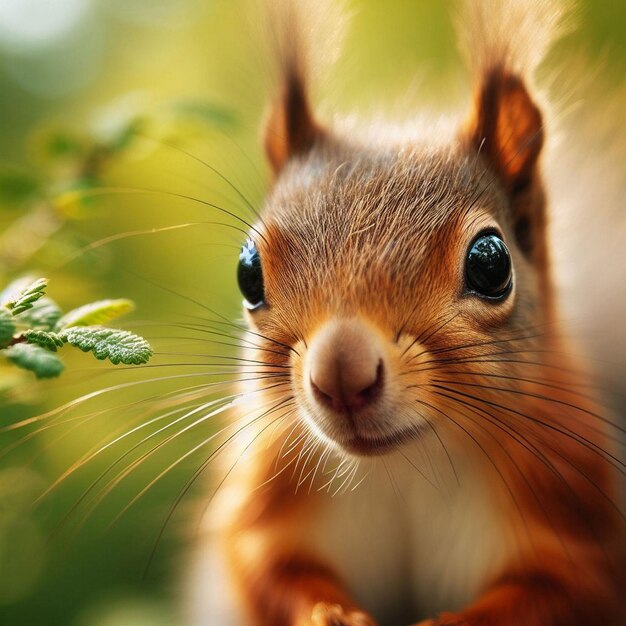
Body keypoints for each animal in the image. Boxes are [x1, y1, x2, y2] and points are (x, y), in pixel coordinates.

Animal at [185, 1, 624, 624]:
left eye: (491, 263)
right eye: (248, 272)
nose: (342, 375)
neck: (403, 469)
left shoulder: (577, 519)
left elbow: (562, 591)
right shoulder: (266, 499)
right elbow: (263, 569)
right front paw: (330, 613)